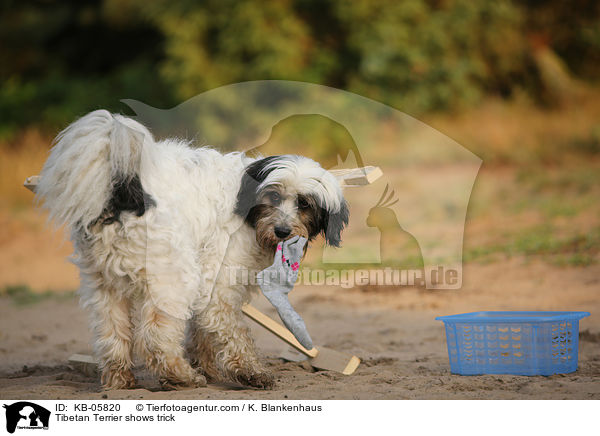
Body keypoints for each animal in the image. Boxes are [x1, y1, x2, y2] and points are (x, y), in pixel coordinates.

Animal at [36, 110, 346, 390]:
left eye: (304, 204)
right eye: (273, 196)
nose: (282, 231)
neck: (248, 205)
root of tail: (123, 193)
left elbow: (203, 330)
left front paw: (208, 367)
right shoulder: (219, 280)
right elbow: (229, 327)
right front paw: (249, 372)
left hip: (103, 283)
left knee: (112, 334)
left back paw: (120, 380)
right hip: (172, 278)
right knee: (155, 338)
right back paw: (180, 376)